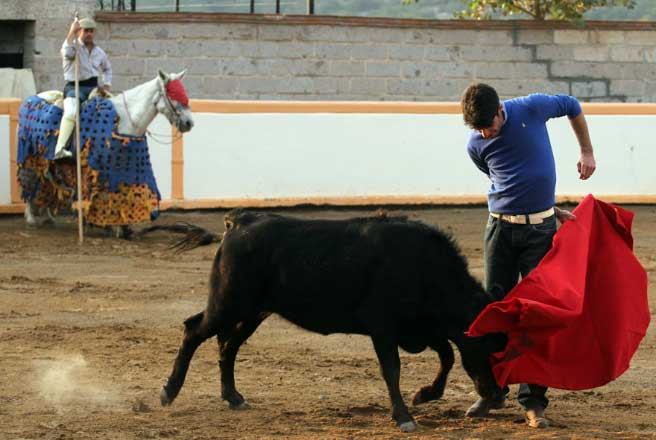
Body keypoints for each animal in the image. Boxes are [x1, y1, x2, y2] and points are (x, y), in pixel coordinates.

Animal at [17, 69, 192, 237]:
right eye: (173, 94)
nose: (189, 123)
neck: (124, 120)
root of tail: (32, 98)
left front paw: (121, 227)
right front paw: (112, 226)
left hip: (46, 161)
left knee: (47, 182)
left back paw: (47, 217)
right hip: (30, 157)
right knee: (32, 182)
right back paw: (31, 218)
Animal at [161, 211, 504, 432]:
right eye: (490, 348)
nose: (498, 396)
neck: (425, 268)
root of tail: (238, 223)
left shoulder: (421, 329)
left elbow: (447, 356)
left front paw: (425, 394)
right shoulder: (384, 328)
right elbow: (393, 370)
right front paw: (405, 416)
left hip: (254, 312)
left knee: (228, 345)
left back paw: (233, 397)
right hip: (228, 304)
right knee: (194, 331)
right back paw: (169, 392)